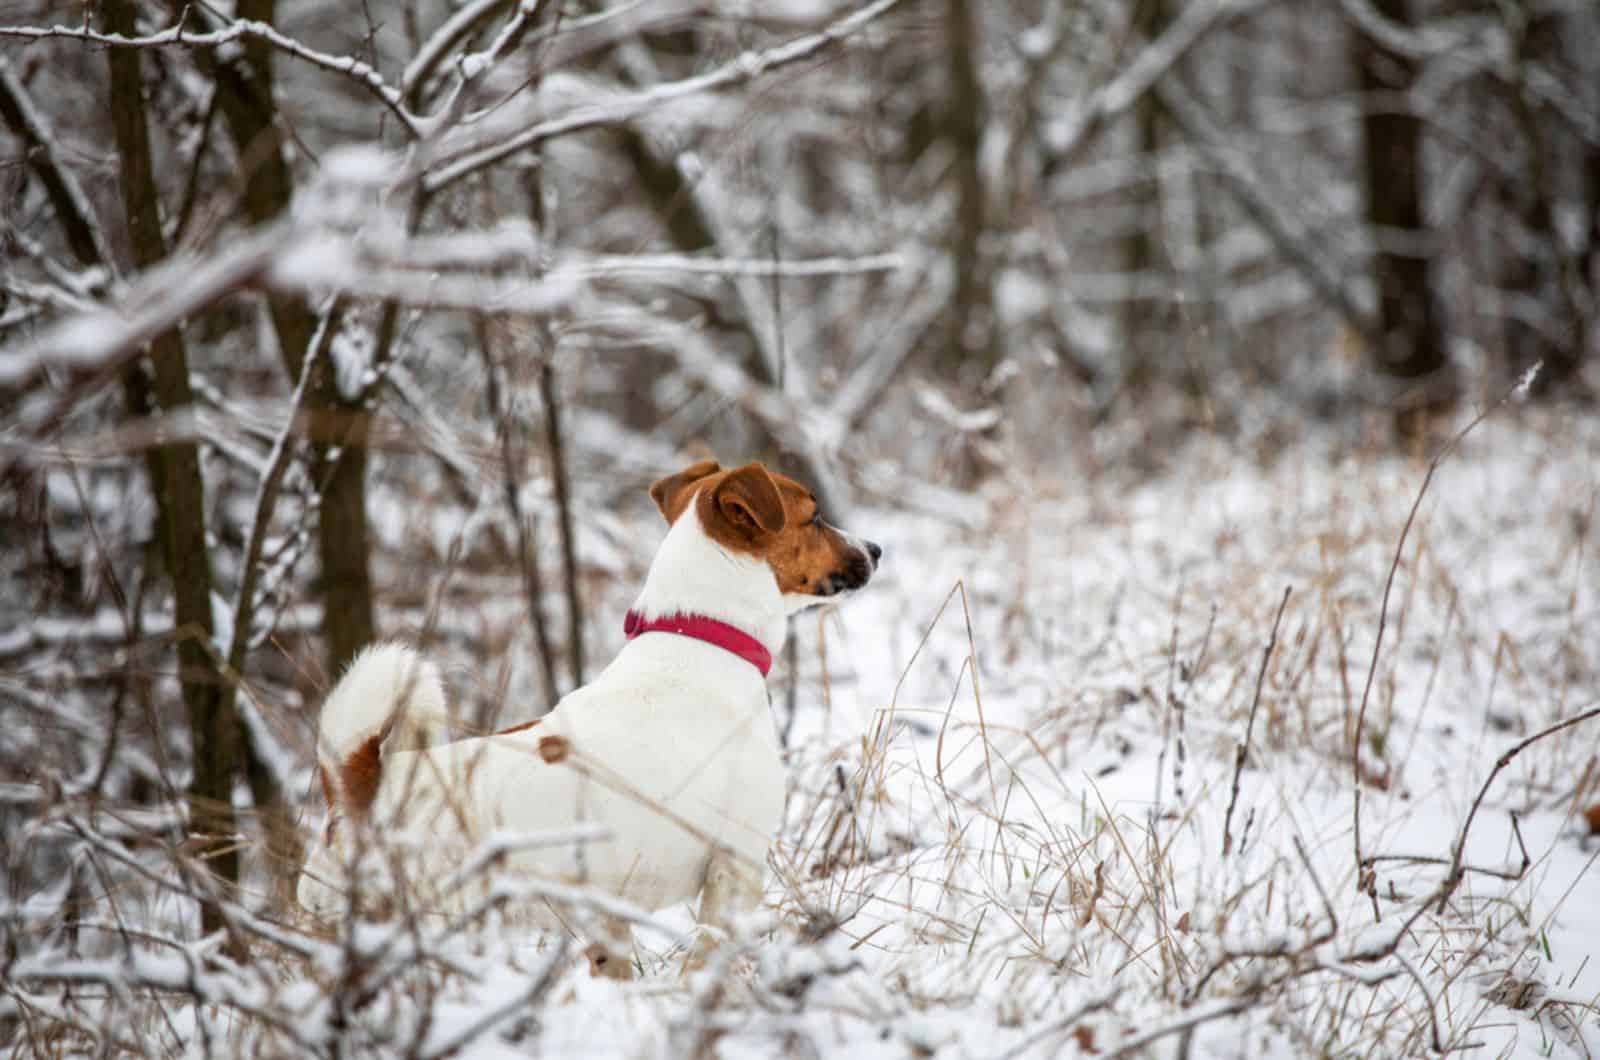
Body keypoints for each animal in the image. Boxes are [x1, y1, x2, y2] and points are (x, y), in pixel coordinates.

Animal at [294, 464, 883, 979]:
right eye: (814, 516)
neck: (699, 637)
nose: (876, 549)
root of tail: (361, 790)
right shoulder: (732, 871)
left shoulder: (608, 911)